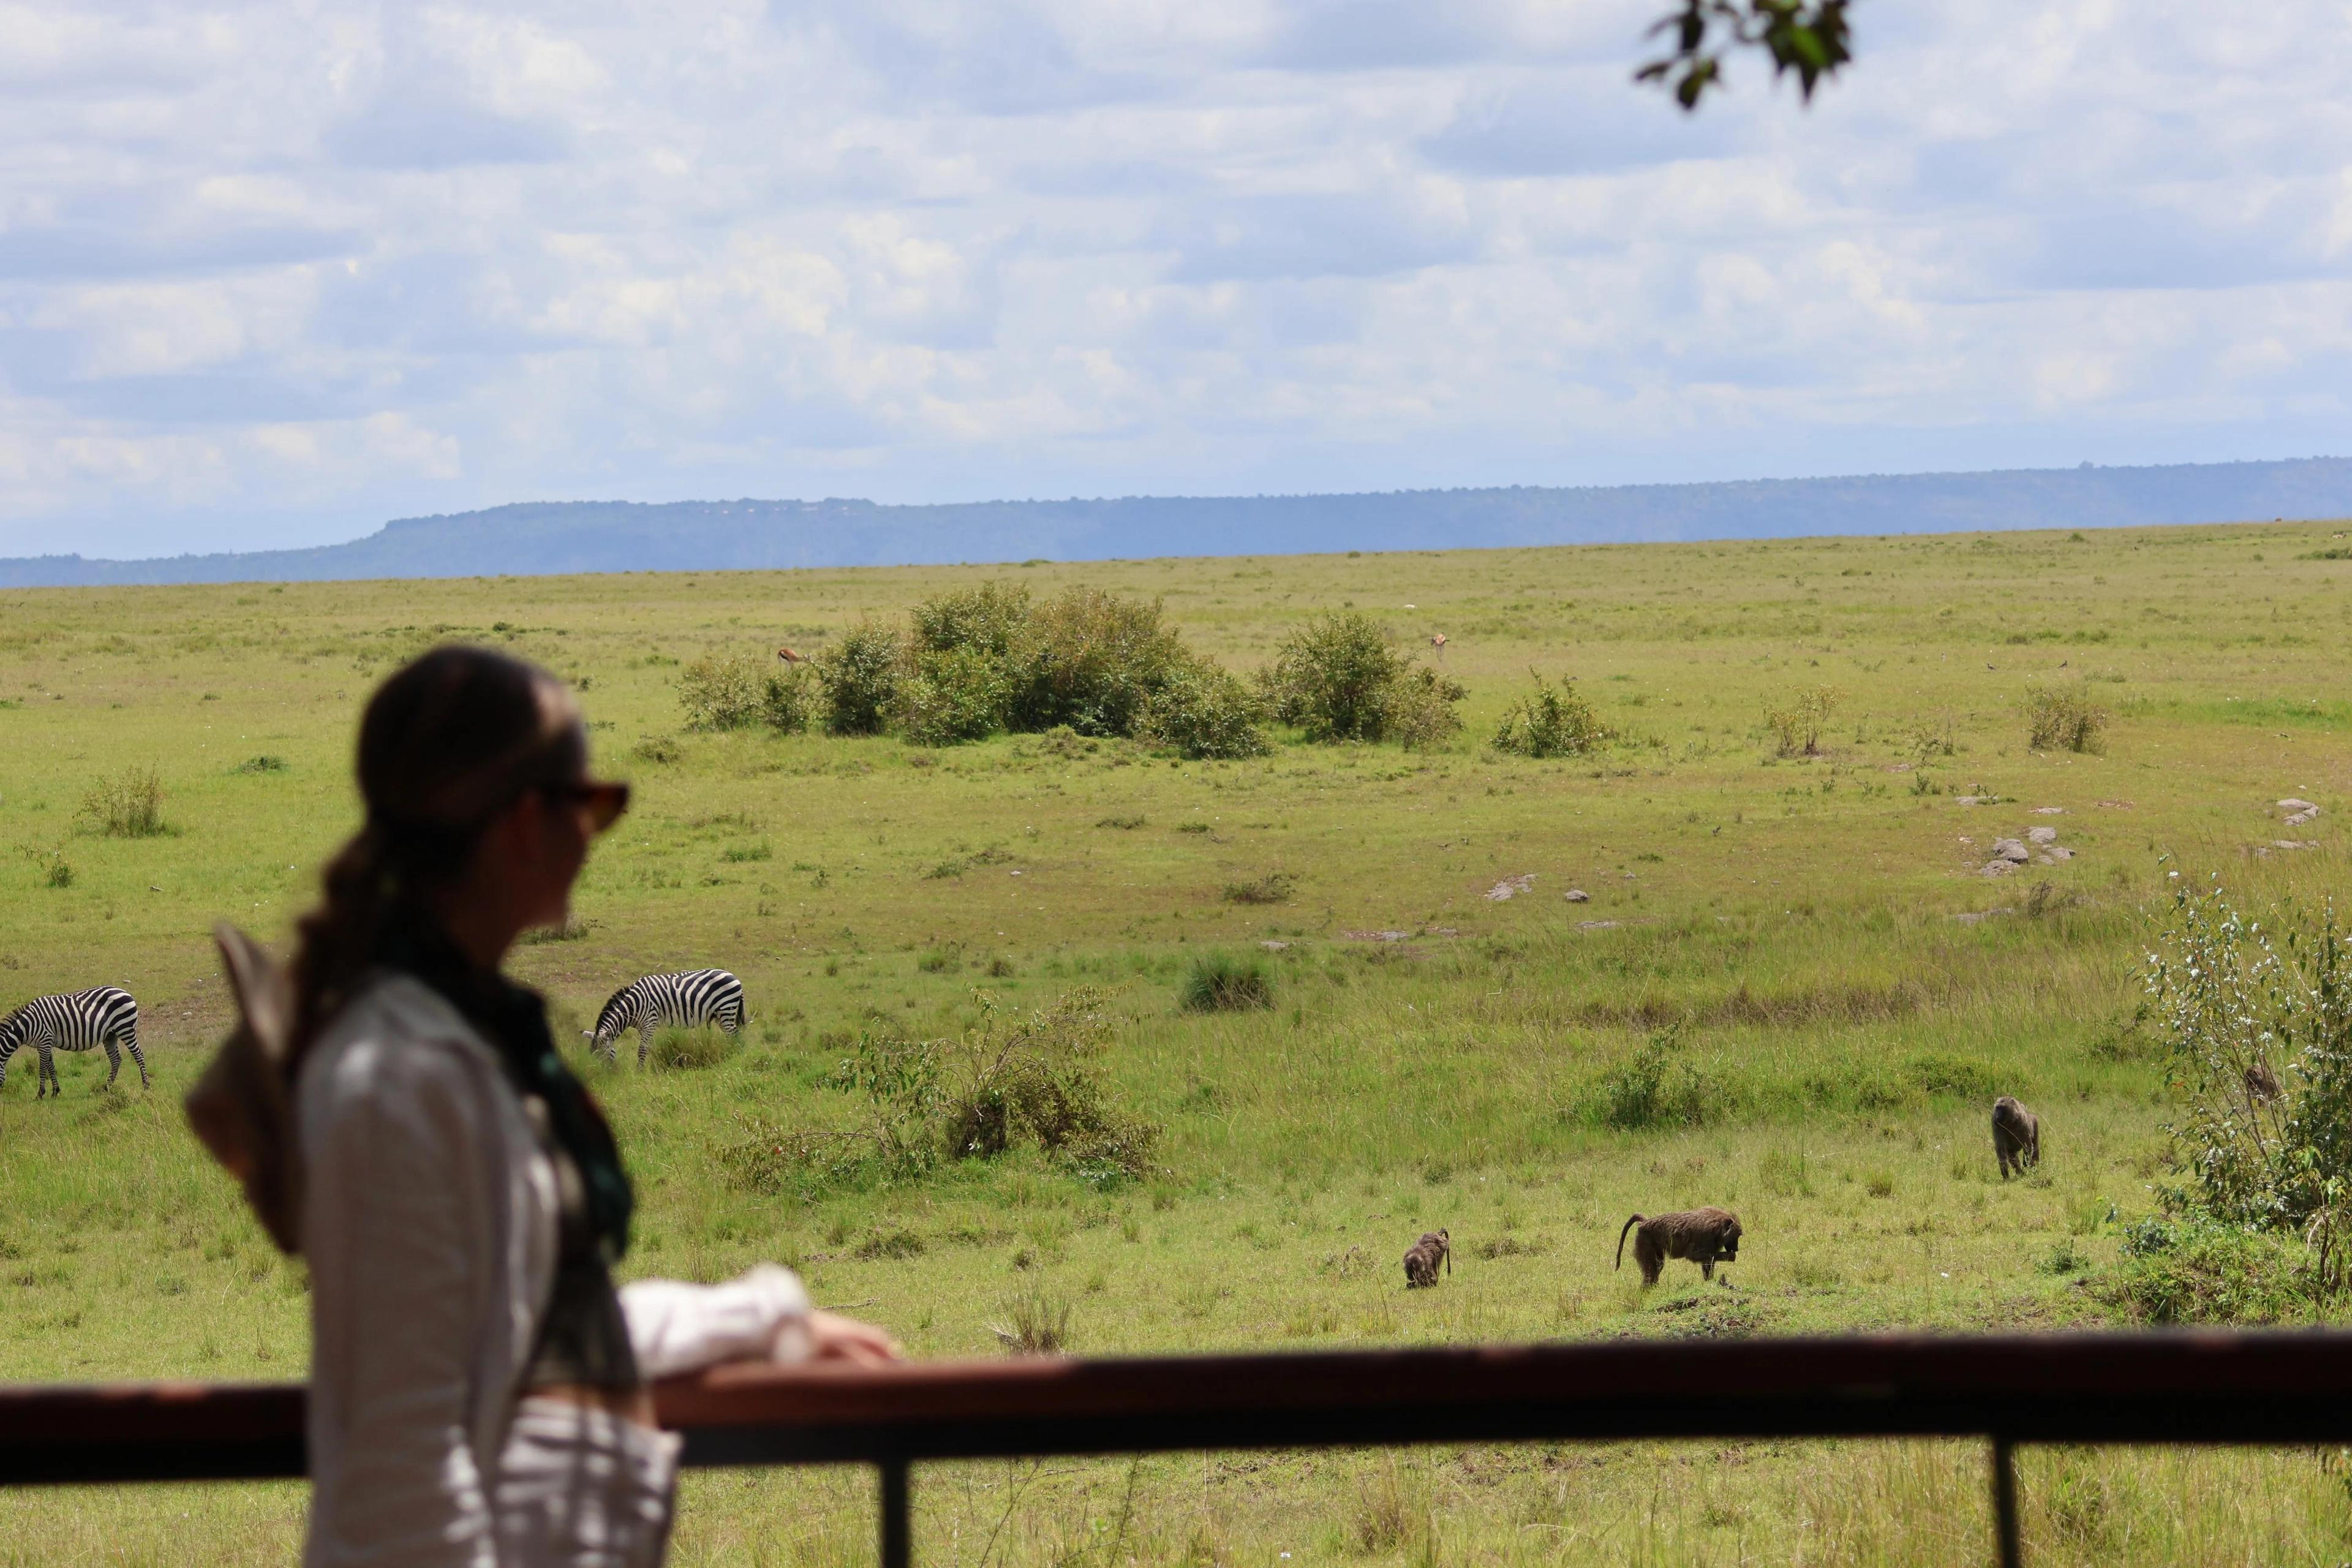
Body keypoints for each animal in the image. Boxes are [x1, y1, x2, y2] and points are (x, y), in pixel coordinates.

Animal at [0, 987, 145, 1098]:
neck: (27, 1026)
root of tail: (127, 993)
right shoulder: (45, 1043)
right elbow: (51, 1067)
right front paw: (55, 1092)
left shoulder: (45, 1041)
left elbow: (42, 1069)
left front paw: (40, 1094)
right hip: (111, 1035)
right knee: (116, 1060)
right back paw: (106, 1088)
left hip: (126, 1029)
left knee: (139, 1055)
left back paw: (146, 1086)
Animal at [584, 970, 745, 1065]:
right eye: (592, 1055)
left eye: (602, 1054)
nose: (602, 1075)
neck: (633, 1006)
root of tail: (734, 976)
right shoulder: (644, 1027)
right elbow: (647, 1048)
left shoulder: (650, 1021)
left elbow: (642, 1050)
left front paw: (639, 1072)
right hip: (720, 1014)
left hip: (726, 1009)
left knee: (734, 1035)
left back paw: (733, 1056)